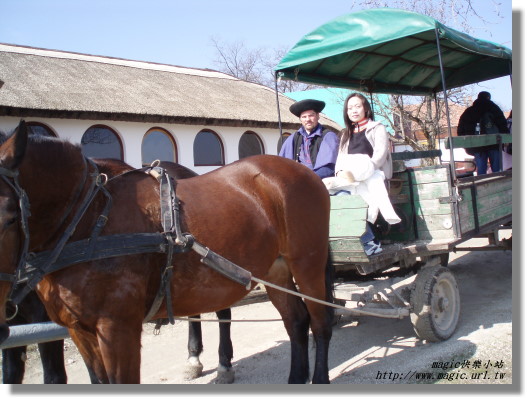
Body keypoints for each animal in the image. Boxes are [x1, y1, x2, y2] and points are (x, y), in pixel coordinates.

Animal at [1, 122, 334, 384]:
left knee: (319, 322)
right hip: (275, 270)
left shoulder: (118, 329)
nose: (3, 318)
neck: (90, 217)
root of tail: (302, 172)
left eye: (9, 216)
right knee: (296, 322)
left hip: (308, 265)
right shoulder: (78, 330)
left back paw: (318, 378)